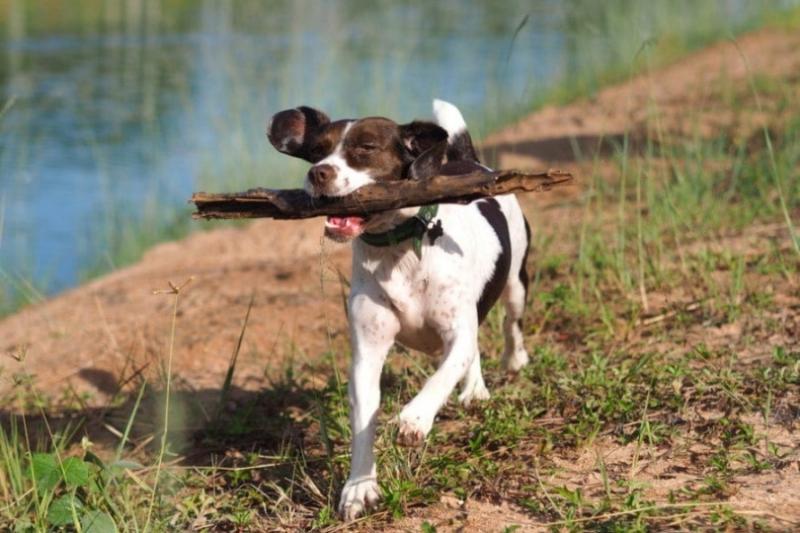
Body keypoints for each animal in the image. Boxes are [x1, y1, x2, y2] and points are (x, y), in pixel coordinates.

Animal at [268, 100, 532, 520]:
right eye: (316, 151)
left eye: (366, 148)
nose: (318, 173)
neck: (397, 246)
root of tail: (467, 159)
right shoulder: (367, 353)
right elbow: (364, 419)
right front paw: (359, 488)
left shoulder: (456, 332)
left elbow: (441, 376)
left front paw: (414, 419)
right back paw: (474, 388)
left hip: (516, 282)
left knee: (510, 321)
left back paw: (510, 361)